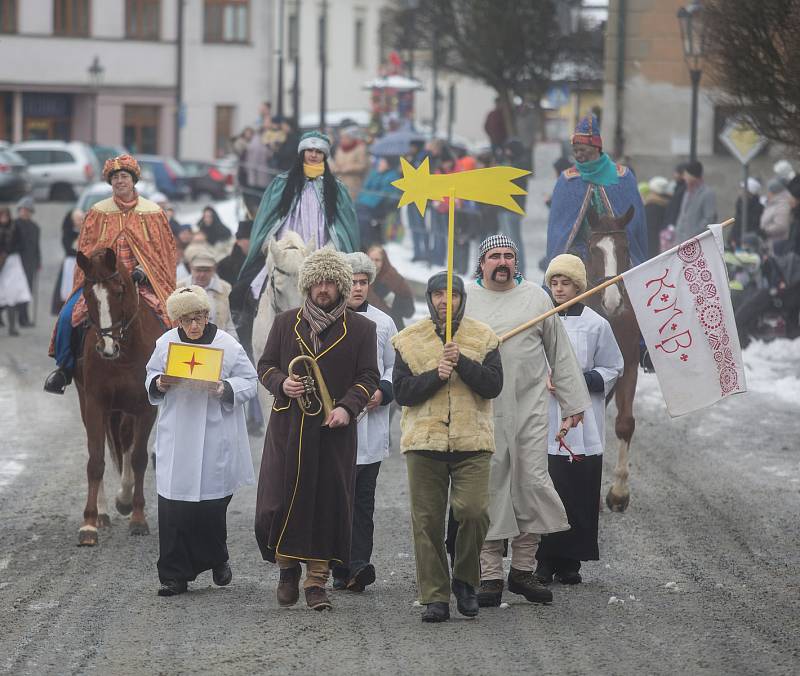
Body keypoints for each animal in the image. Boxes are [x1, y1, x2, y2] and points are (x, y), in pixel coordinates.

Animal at [73, 248, 162, 544]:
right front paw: (89, 523)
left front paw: (137, 517)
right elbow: (96, 460)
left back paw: (124, 499)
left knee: (126, 442)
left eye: (119, 292)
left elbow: (138, 458)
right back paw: (103, 512)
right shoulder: (95, 403)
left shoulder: (146, 407)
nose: (106, 348)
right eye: (87, 294)